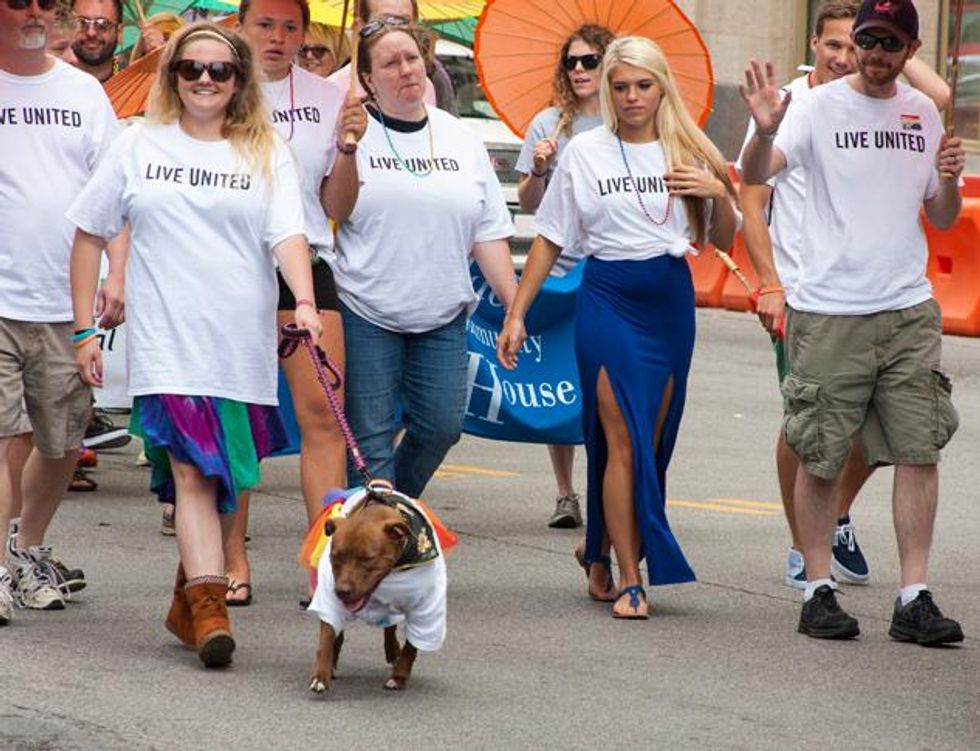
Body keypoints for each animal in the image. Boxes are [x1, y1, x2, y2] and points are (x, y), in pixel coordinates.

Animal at [304, 490, 450, 696]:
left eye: (367, 559)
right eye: (336, 557)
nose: (342, 591)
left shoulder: (427, 608)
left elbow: (412, 646)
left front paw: (399, 676)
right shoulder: (329, 600)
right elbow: (327, 637)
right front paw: (320, 675)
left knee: (390, 628)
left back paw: (393, 652)